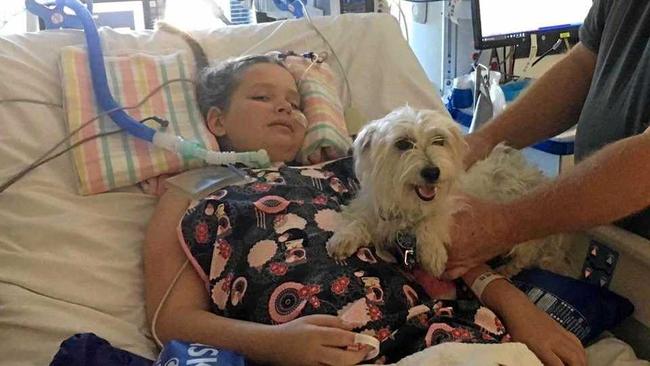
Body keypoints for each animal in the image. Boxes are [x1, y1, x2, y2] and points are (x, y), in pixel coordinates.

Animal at [326, 105, 568, 278]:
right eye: (403, 143)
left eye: (439, 140)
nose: (432, 172)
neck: (408, 202)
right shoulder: (373, 207)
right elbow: (359, 219)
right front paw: (344, 237)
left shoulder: (454, 205)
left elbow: (432, 220)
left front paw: (433, 253)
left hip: (524, 236)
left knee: (525, 256)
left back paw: (506, 270)